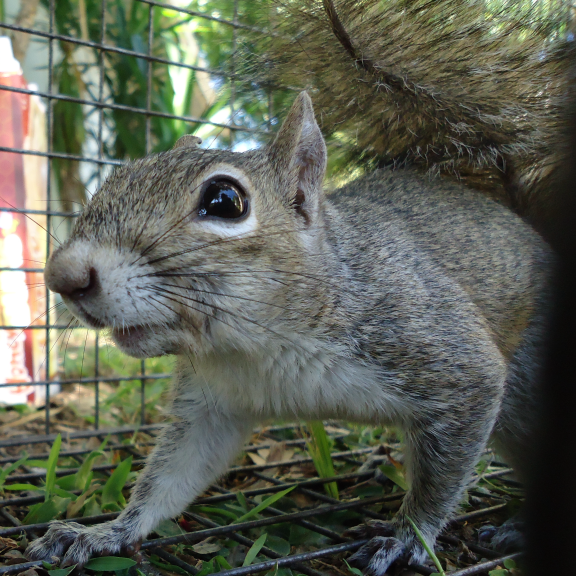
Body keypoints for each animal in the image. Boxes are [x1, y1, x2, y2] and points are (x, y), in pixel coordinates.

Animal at [27, 1, 568, 576]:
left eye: (225, 201)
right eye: (114, 178)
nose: (63, 276)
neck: (262, 340)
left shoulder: (441, 351)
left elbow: (440, 479)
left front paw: (408, 537)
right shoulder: (213, 404)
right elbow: (171, 478)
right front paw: (104, 531)